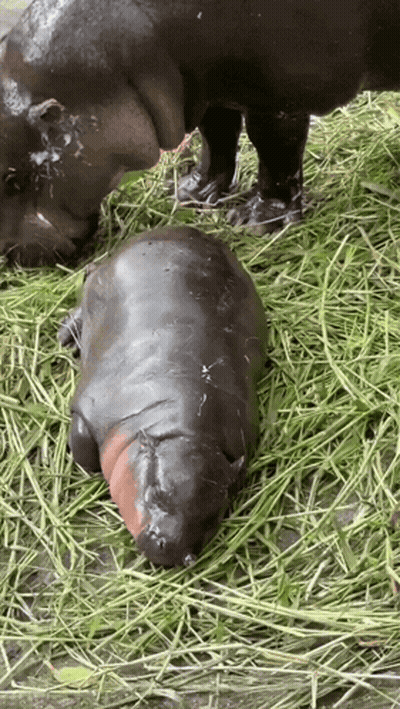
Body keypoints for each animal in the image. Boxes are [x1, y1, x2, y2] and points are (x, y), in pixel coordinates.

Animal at [0, 0, 399, 266]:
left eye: (13, 180)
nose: (7, 256)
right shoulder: (209, 87)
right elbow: (217, 136)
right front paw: (190, 194)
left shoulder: (278, 98)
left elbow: (274, 150)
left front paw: (255, 221)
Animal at [59, 226, 267, 566]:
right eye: (155, 491)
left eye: (214, 516)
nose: (174, 549)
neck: (172, 429)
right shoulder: (91, 412)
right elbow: (82, 447)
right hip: (93, 289)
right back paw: (65, 338)